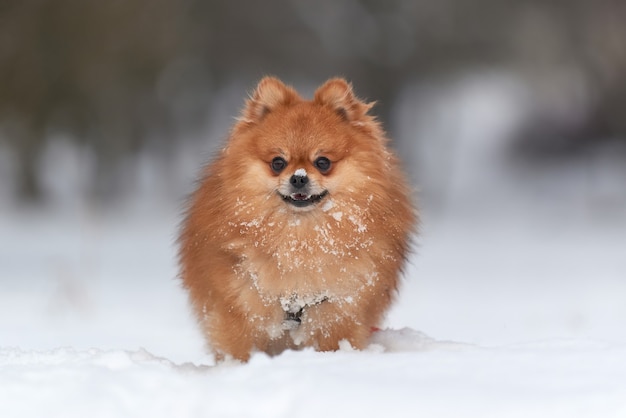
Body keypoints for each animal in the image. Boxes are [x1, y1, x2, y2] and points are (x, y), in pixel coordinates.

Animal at [178, 78, 416, 362]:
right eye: (278, 163)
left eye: (323, 162)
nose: (299, 178)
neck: (301, 238)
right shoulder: (237, 311)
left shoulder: (340, 313)